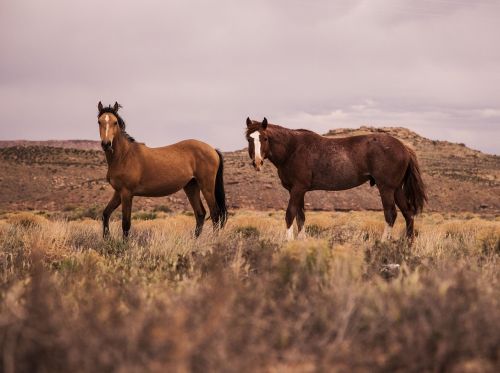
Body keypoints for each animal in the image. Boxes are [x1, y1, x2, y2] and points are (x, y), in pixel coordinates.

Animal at [96, 100, 226, 237]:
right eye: (99, 121)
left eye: (115, 122)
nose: (106, 144)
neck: (124, 156)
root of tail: (212, 150)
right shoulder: (118, 192)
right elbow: (106, 214)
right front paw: (107, 238)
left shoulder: (127, 193)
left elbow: (126, 224)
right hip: (191, 186)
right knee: (200, 213)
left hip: (206, 187)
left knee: (215, 214)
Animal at [245, 119, 426, 241]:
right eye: (249, 139)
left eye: (264, 138)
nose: (257, 162)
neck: (292, 149)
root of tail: (404, 147)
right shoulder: (299, 191)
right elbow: (300, 217)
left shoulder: (297, 189)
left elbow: (290, 214)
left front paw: (288, 242)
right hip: (396, 189)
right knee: (408, 213)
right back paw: (407, 244)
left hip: (386, 188)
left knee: (391, 214)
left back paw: (383, 243)